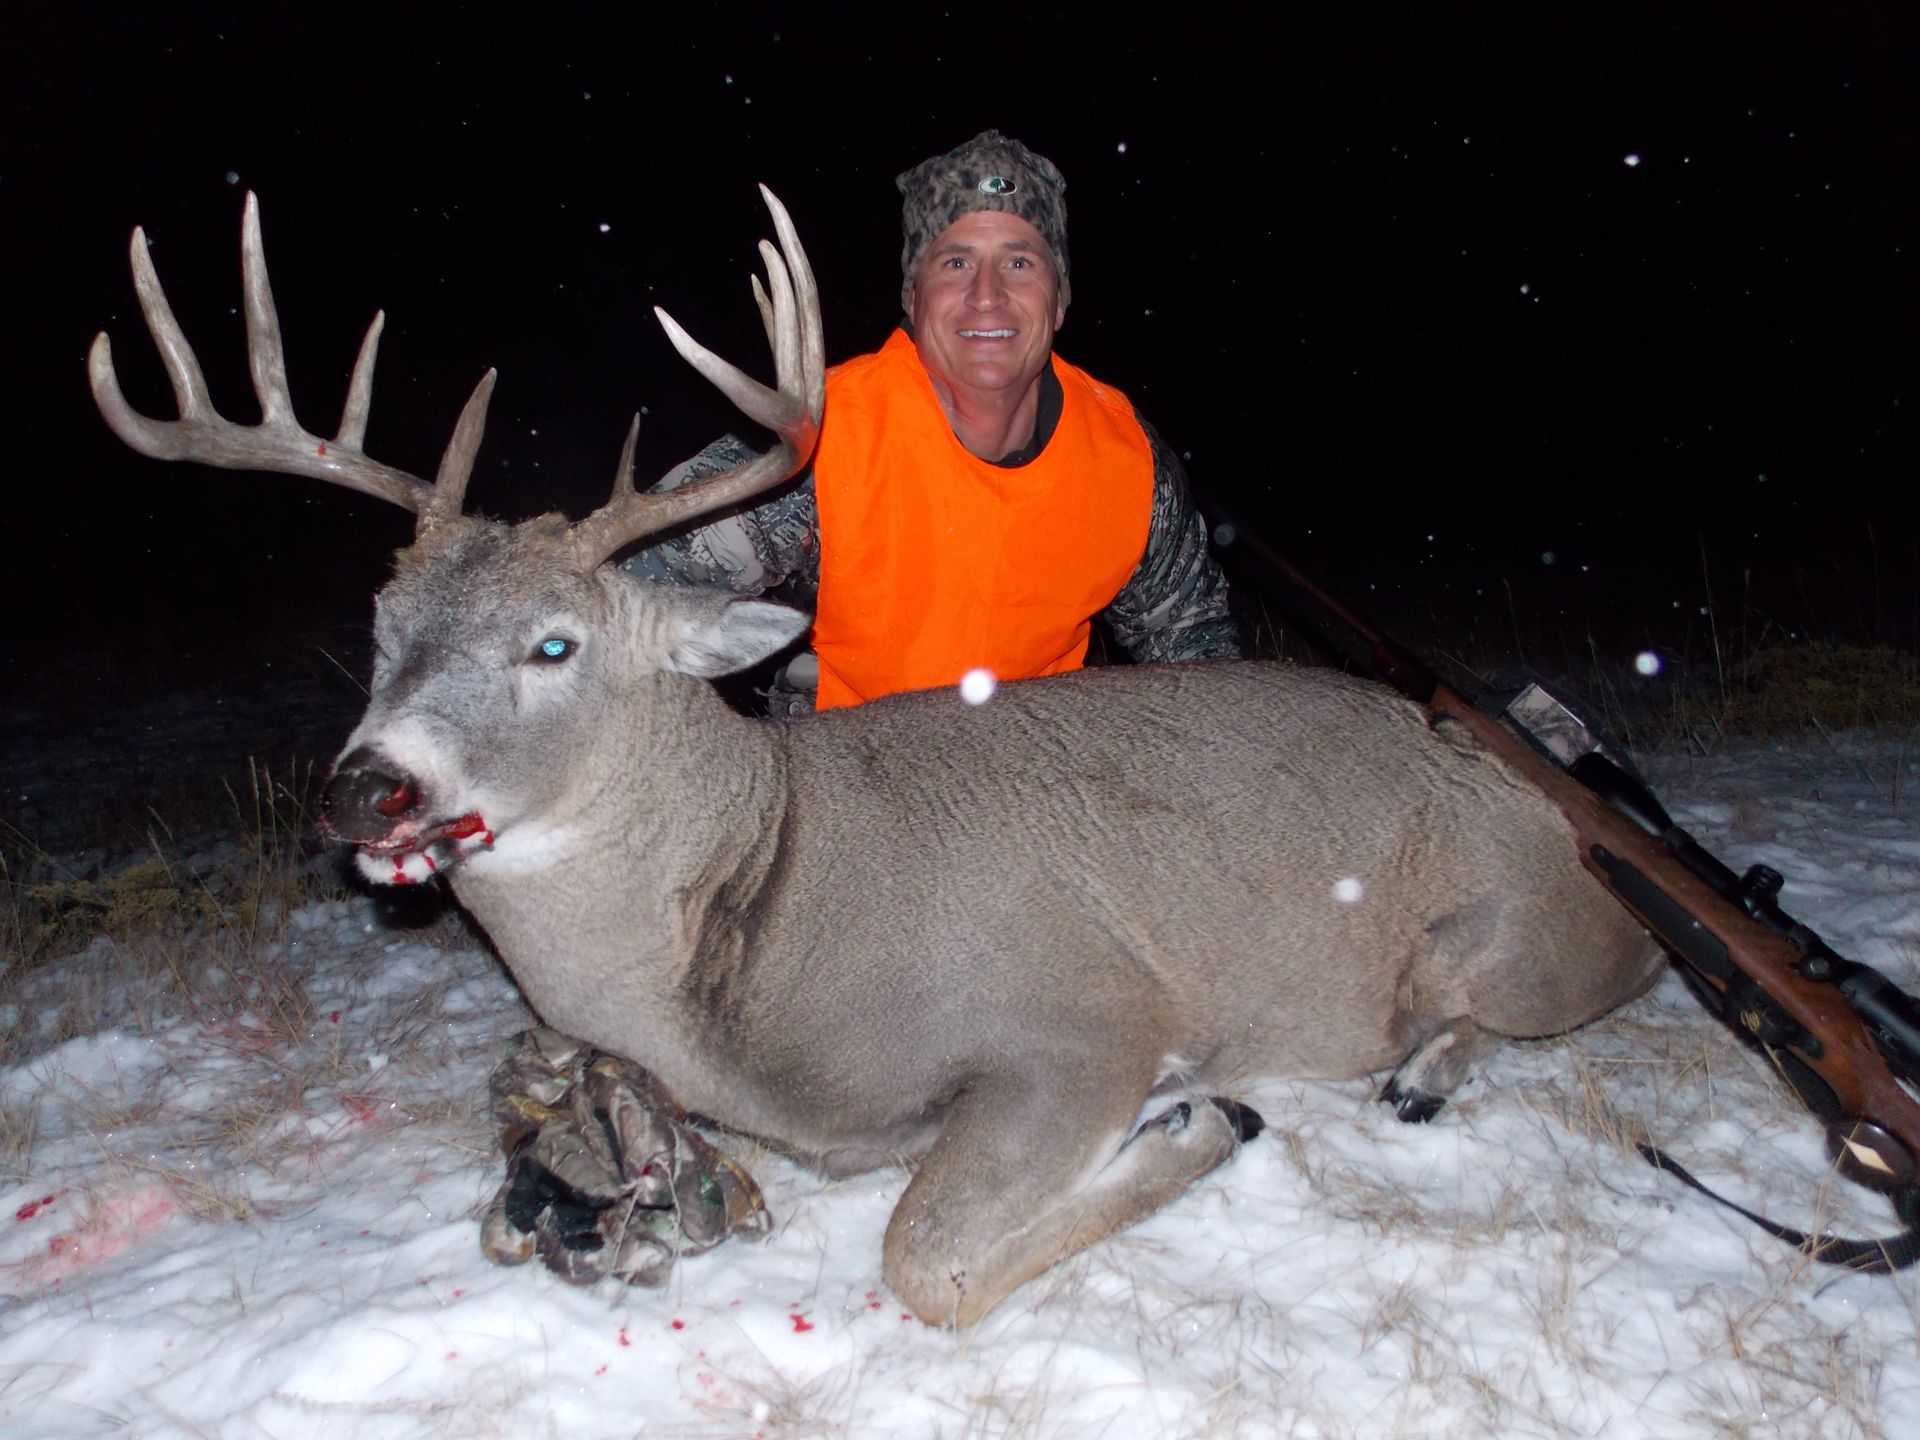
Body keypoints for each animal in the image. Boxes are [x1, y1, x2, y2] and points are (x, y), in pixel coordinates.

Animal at [89, 189, 1662, 1327]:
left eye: (554, 644)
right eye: (381, 627)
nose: (368, 788)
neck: (765, 925)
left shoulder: (1082, 1021)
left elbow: (927, 1261)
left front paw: (1203, 1118)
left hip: (1505, 947)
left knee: (1576, 987)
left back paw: (1421, 1074)